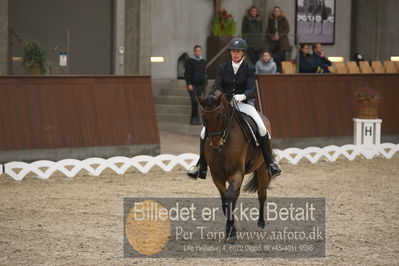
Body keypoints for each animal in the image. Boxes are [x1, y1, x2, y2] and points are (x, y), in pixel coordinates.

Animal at [198, 92, 278, 242]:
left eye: (219, 116)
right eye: (204, 118)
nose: (216, 146)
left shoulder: (237, 173)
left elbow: (229, 197)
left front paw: (231, 232)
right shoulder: (217, 176)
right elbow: (226, 200)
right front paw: (231, 229)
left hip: (262, 168)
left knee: (261, 194)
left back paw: (260, 225)